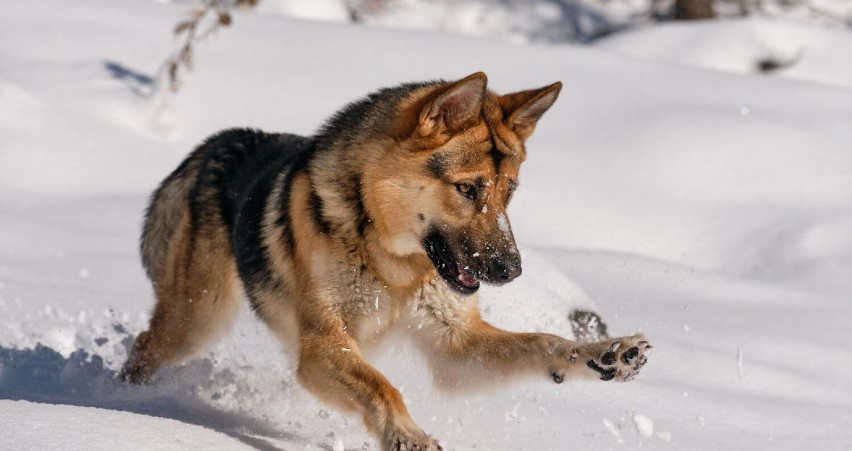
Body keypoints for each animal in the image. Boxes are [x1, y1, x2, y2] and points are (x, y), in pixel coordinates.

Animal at [120, 72, 652, 450]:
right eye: (468, 189)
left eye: (510, 192)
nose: (512, 271)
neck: (391, 262)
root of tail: (219, 142)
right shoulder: (321, 346)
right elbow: (382, 386)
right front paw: (408, 436)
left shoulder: (454, 346)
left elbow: (545, 342)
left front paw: (607, 353)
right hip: (197, 321)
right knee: (143, 349)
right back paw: (121, 402)